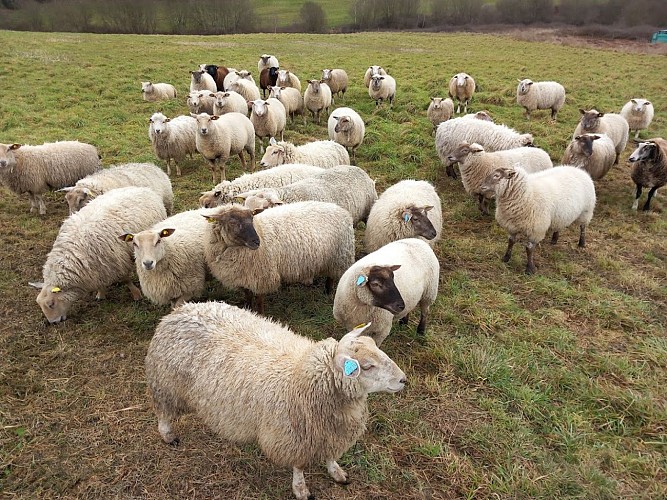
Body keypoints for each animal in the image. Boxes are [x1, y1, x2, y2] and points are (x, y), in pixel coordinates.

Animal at [31, 187, 167, 324]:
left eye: (51, 304)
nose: (53, 322)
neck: (75, 255)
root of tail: (140, 188)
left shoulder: (118, 261)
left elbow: (125, 279)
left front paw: (136, 295)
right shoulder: (97, 266)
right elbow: (100, 282)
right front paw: (100, 294)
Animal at [146, 305, 405, 500]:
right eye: (367, 366)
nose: (404, 379)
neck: (301, 375)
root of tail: (178, 311)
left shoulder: (330, 433)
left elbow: (331, 456)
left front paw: (337, 472)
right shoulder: (293, 436)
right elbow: (299, 466)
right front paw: (301, 489)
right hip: (167, 385)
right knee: (163, 413)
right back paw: (168, 436)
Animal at [203, 201, 355, 314]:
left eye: (252, 219)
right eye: (232, 222)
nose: (256, 242)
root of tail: (340, 209)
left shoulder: (262, 276)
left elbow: (259, 299)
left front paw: (260, 315)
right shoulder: (244, 277)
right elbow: (248, 296)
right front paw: (248, 310)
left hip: (339, 256)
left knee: (331, 277)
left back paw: (327, 292)